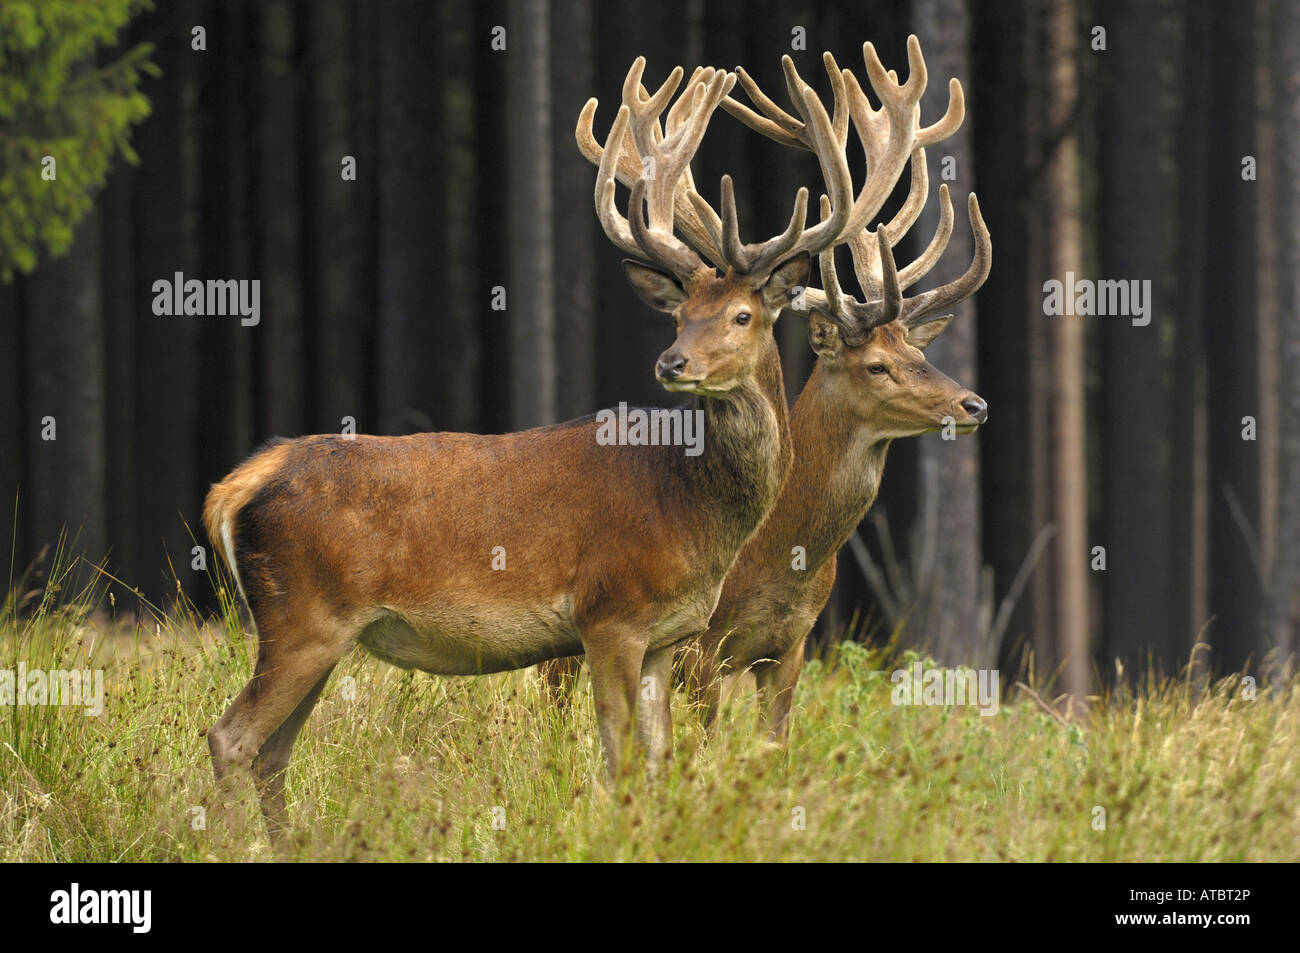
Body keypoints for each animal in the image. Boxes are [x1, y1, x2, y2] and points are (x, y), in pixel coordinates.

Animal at [202, 55, 868, 837]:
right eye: (679, 315)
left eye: (741, 315)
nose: (672, 363)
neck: (692, 505)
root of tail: (235, 486)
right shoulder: (611, 611)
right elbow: (617, 759)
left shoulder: (667, 637)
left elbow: (660, 760)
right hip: (303, 615)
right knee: (231, 737)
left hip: (316, 631)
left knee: (271, 752)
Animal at [543, 35, 987, 743]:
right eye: (876, 366)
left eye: (916, 352)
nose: (972, 403)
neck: (780, 558)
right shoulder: (699, 646)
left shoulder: (792, 647)